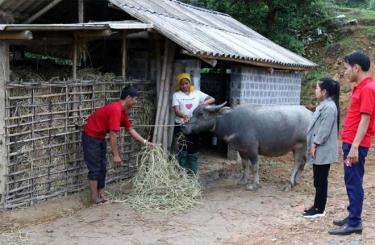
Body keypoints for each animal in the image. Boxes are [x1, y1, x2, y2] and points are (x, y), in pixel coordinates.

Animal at [182, 102, 314, 190]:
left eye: (201, 113)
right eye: (193, 112)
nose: (184, 127)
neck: (231, 122)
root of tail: (311, 115)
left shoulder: (252, 150)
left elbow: (255, 167)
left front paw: (254, 184)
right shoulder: (242, 150)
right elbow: (245, 165)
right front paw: (243, 180)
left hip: (301, 146)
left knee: (297, 163)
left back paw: (289, 184)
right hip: (300, 148)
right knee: (303, 163)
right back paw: (296, 181)